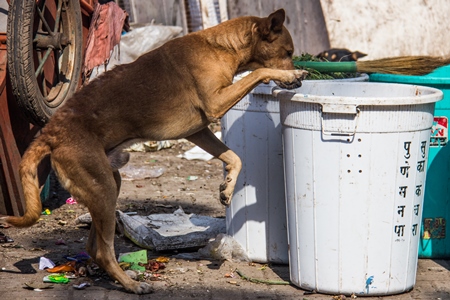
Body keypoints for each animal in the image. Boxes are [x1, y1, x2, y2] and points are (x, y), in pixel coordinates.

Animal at [0, 8, 306, 292]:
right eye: (288, 51)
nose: (300, 82)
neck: (222, 47)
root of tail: (50, 132)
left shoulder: (198, 130)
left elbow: (235, 157)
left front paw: (228, 188)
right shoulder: (215, 103)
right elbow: (259, 71)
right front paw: (290, 72)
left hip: (108, 183)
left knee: (94, 247)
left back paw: (122, 276)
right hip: (102, 188)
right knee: (103, 250)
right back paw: (132, 284)